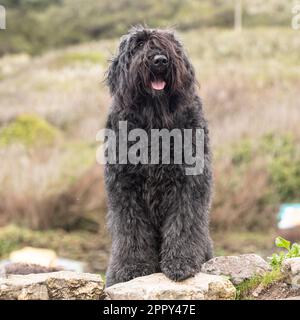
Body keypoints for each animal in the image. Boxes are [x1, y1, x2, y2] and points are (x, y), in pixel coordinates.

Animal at [104, 26, 212, 288]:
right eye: (139, 45)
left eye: (171, 46)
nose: (160, 60)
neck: (155, 123)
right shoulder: (125, 188)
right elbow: (130, 229)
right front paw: (130, 268)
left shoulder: (189, 183)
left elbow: (184, 223)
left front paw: (181, 262)